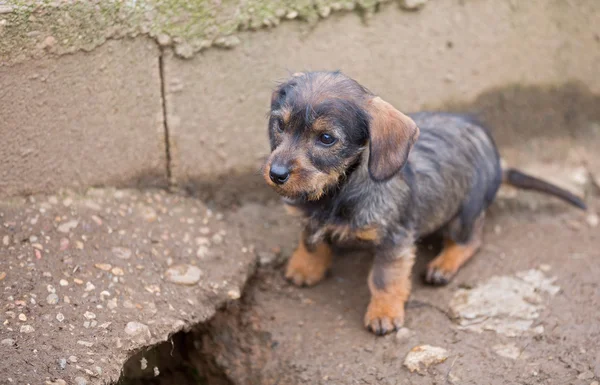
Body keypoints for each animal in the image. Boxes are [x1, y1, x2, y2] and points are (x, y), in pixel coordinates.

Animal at [262, 70, 584, 334]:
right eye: (280, 125)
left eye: (326, 138)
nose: (276, 174)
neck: (338, 191)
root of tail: (497, 161)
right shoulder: (310, 218)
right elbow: (310, 241)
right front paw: (305, 267)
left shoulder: (395, 240)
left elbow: (384, 278)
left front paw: (384, 312)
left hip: (463, 214)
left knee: (472, 239)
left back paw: (443, 264)